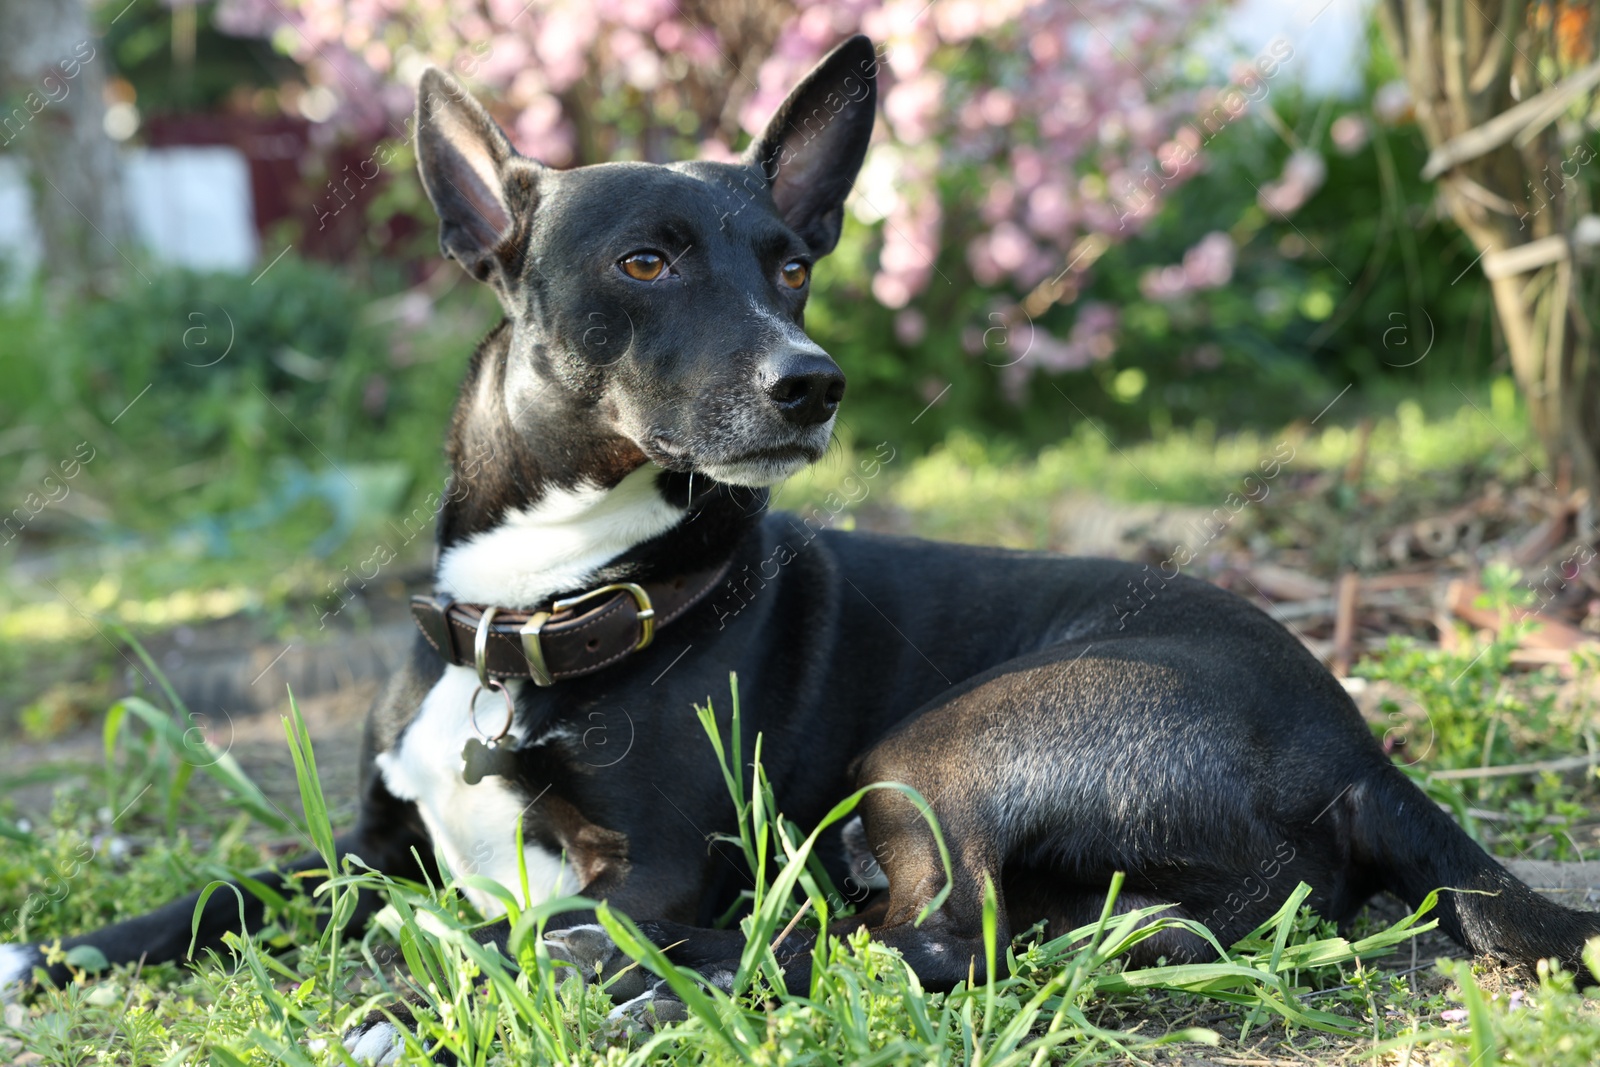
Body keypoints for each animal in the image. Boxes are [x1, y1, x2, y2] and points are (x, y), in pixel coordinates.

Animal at [3, 31, 1600, 1062]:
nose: (811, 380)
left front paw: (444, 989)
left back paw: (636, 984)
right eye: (645, 260)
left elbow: (549, 923)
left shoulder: (649, 872)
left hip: (935, 750)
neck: (545, 606)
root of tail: (1360, 747)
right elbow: (224, 888)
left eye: (790, 266)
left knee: (937, 942)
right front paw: (59, 950)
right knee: (934, 933)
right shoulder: (365, 849)